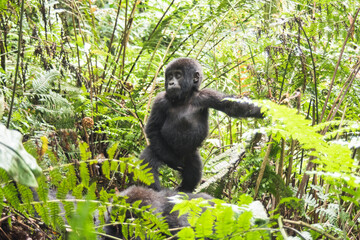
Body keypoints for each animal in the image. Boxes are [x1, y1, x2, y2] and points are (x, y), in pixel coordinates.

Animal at [141, 57, 264, 192]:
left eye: (178, 75)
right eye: (169, 76)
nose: (171, 83)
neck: (184, 98)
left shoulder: (206, 95)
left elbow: (232, 106)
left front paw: (264, 110)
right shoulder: (160, 100)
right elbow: (153, 128)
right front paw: (172, 160)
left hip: (191, 154)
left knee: (193, 172)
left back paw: (183, 190)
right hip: (161, 148)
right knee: (148, 161)